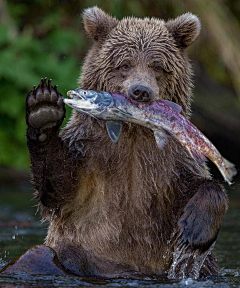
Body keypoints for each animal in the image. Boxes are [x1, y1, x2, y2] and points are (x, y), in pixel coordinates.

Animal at [25, 6, 228, 276]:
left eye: (157, 66)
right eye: (124, 64)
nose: (140, 91)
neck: (134, 130)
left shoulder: (171, 162)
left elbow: (199, 186)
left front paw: (194, 228)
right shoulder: (91, 151)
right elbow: (61, 188)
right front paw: (44, 110)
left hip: (202, 265)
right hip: (86, 254)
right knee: (55, 255)